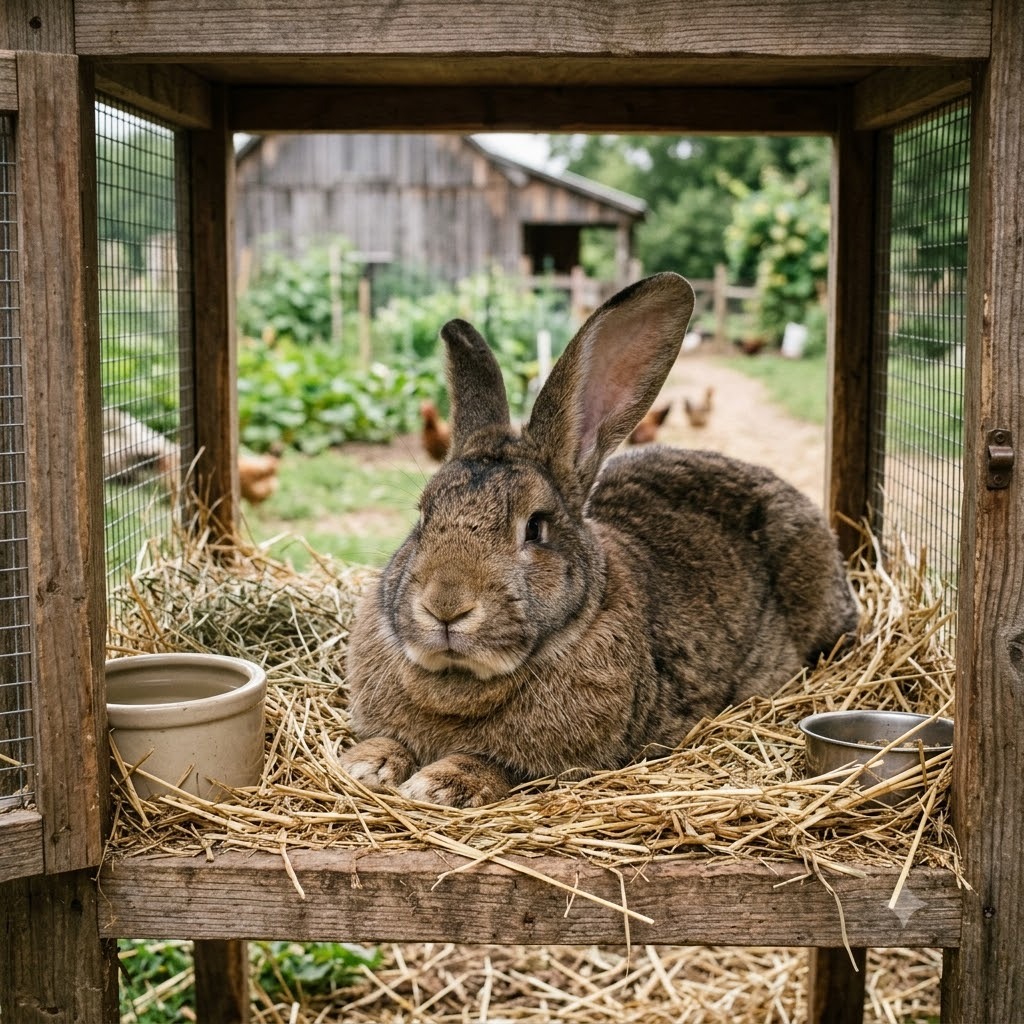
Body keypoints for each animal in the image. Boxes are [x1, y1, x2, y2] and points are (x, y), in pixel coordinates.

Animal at [340, 272, 859, 807]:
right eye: (423, 516)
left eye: (535, 527)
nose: (445, 606)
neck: (458, 679)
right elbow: (388, 741)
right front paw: (366, 763)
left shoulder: (556, 766)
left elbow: (496, 766)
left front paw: (441, 784)